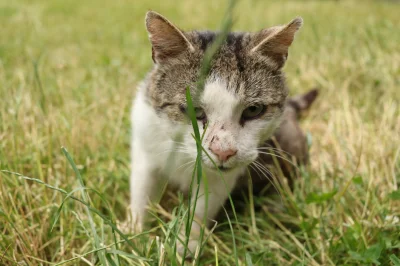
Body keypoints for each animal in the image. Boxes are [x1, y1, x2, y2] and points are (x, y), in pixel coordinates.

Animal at [130, 11, 302, 256]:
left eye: (254, 110)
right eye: (193, 111)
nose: (223, 151)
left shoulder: (222, 177)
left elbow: (202, 209)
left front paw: (186, 244)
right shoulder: (145, 143)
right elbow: (141, 194)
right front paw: (133, 234)